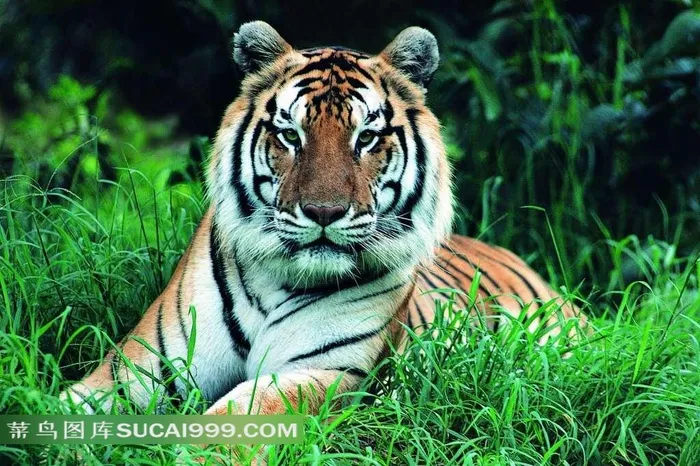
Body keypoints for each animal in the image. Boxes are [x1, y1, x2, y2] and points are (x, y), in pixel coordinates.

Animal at [62, 21, 585, 417]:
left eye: (366, 138)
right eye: (290, 135)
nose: (324, 212)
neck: (270, 286)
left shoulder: (321, 371)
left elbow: (234, 419)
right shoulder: (134, 370)